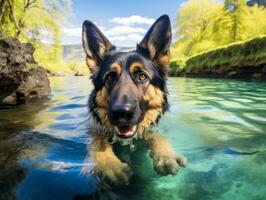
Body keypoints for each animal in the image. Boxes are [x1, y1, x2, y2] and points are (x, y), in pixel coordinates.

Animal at [81, 14, 187, 185]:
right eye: (110, 77)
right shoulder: (94, 130)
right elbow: (97, 142)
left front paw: (165, 155)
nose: (121, 113)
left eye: (142, 76)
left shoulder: (151, 129)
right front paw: (110, 165)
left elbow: (157, 136)